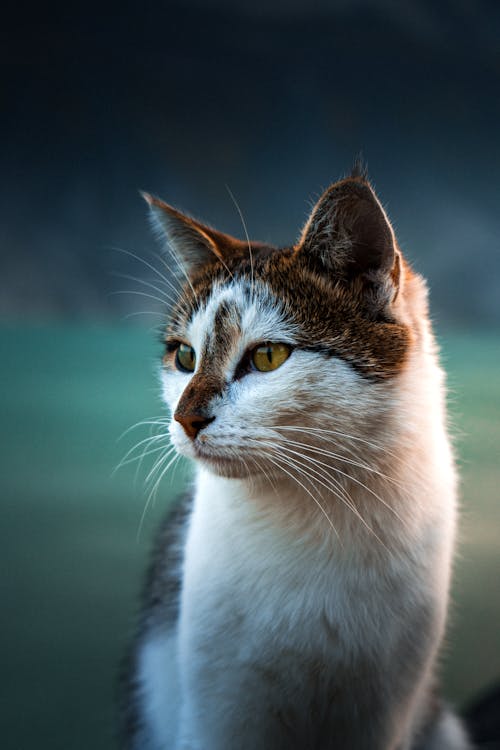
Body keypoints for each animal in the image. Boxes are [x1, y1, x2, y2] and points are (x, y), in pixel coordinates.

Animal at [120, 167, 468, 748]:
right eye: (185, 356)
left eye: (267, 356)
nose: (185, 419)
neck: (312, 508)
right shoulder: (221, 711)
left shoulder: (384, 708)